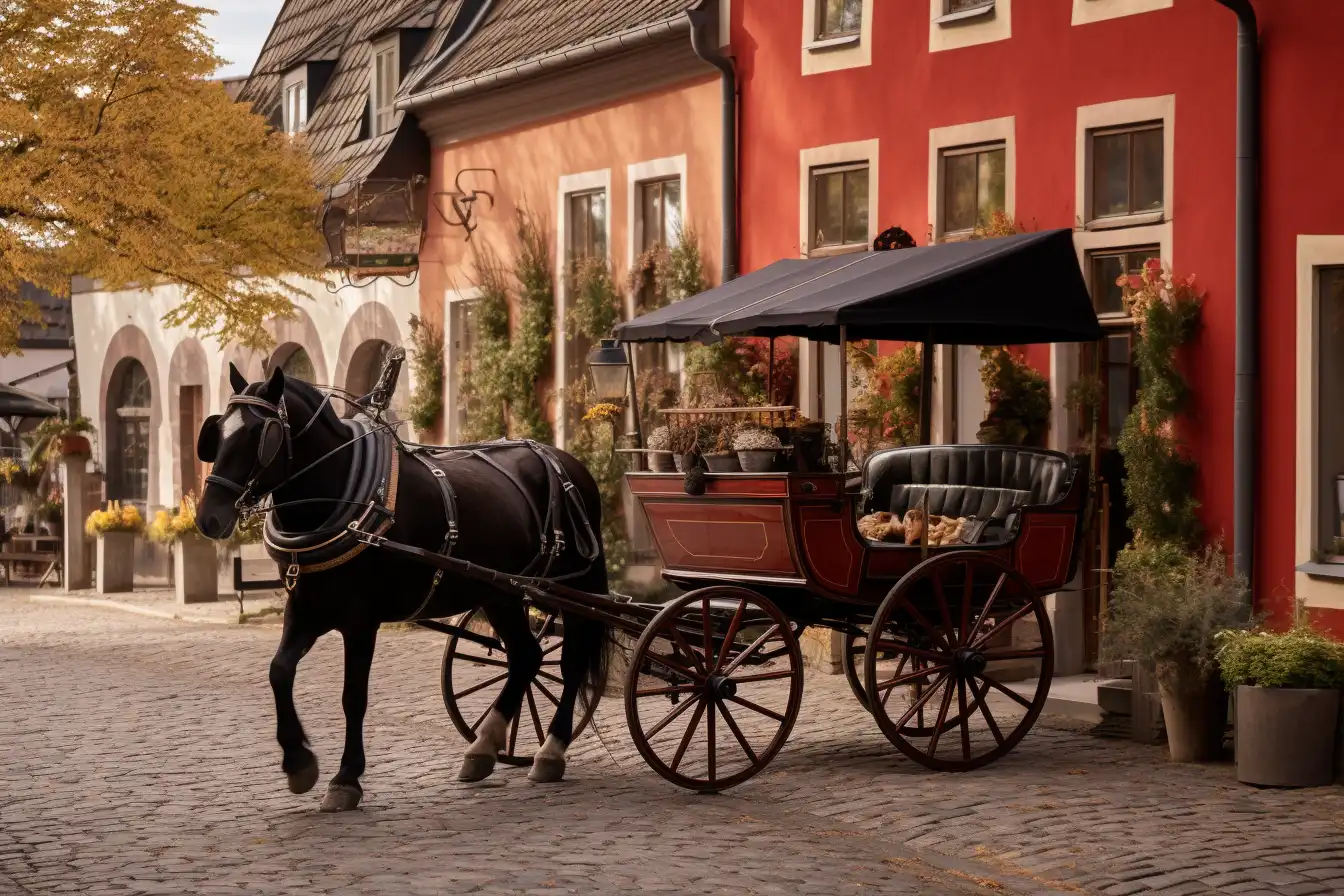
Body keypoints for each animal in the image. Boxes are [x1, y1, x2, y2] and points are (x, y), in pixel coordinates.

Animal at [196, 365, 612, 811]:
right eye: (217, 432)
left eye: (261, 436)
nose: (207, 518)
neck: (342, 499)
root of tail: (567, 462)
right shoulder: (307, 610)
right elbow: (279, 672)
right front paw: (298, 762)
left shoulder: (360, 621)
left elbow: (353, 697)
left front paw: (345, 779)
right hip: (500, 593)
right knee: (526, 657)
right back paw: (483, 748)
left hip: (573, 586)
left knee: (570, 664)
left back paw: (550, 751)